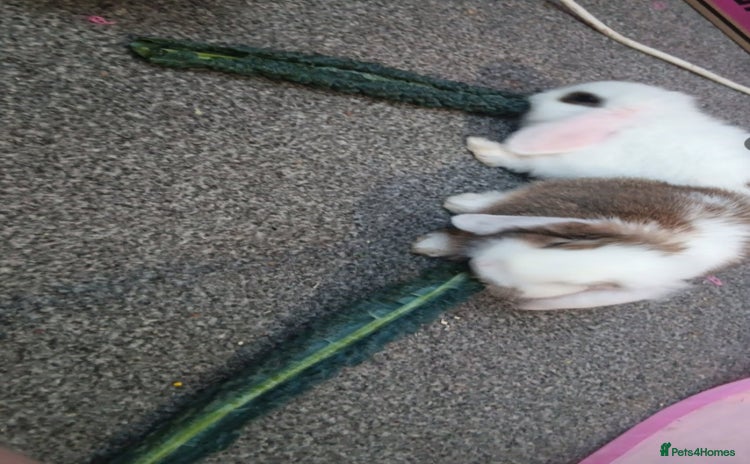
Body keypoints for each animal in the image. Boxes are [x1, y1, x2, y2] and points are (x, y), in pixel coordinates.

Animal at [412, 178, 750, 310]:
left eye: (569, 285)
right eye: (557, 245)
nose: (482, 265)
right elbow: (463, 232)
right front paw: (428, 244)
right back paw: (459, 202)